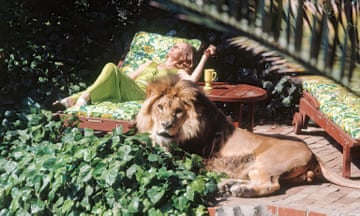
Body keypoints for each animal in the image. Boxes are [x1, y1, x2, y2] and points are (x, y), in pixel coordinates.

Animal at [136, 75, 360, 197]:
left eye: (178, 112)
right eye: (160, 107)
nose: (166, 125)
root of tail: (313, 152)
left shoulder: (188, 159)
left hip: (266, 161)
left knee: (272, 184)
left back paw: (239, 190)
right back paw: (228, 185)